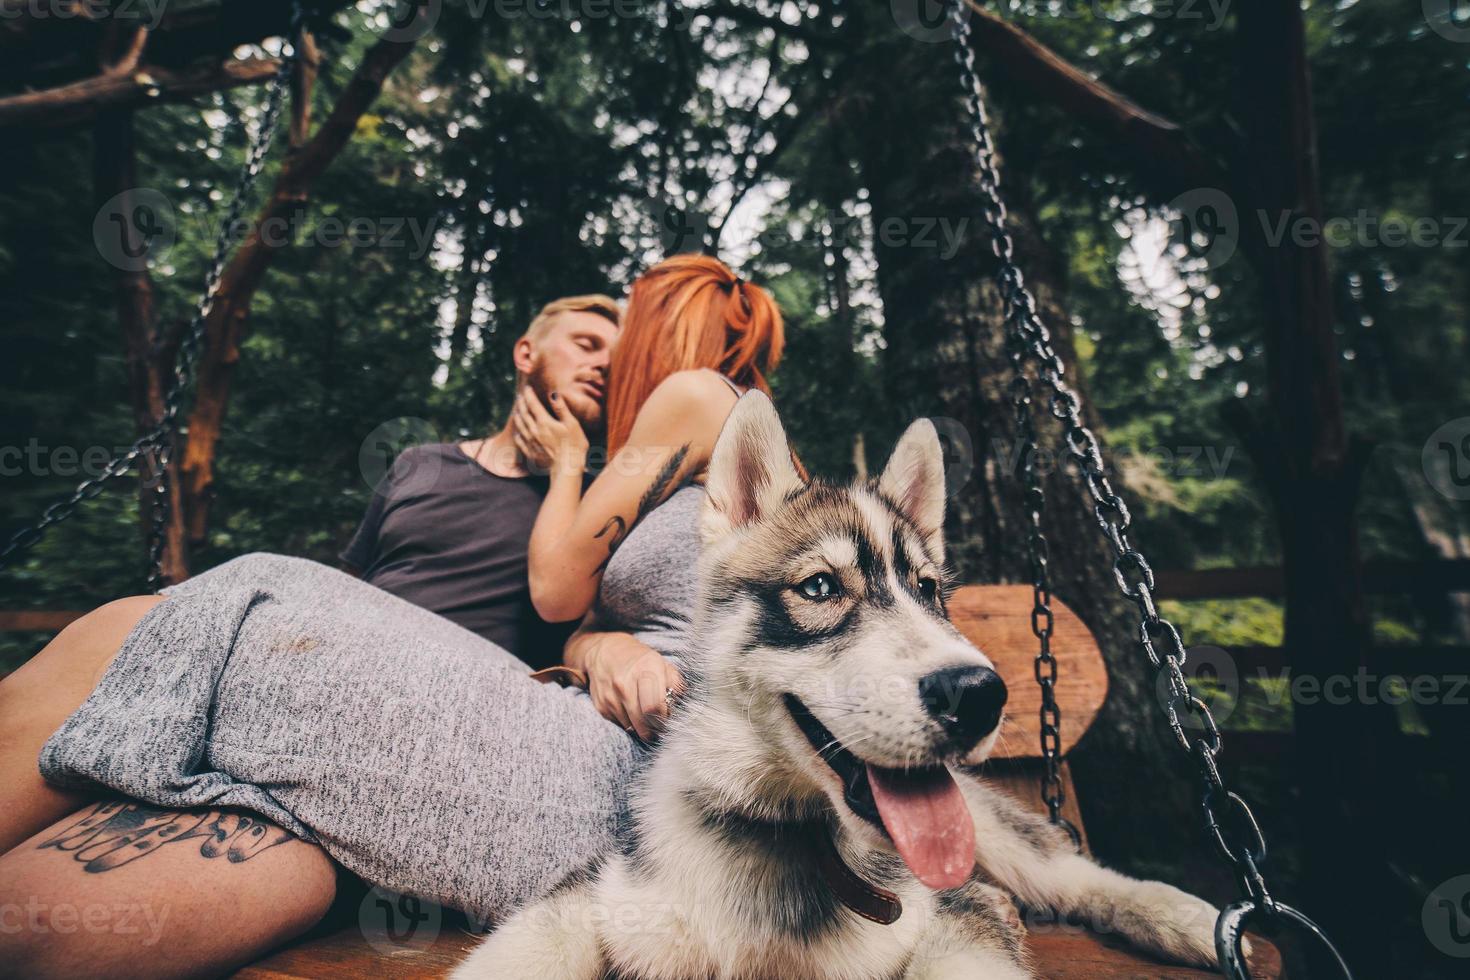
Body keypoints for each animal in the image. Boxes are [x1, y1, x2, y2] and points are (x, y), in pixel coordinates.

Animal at [455, 393, 1217, 980]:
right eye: (820, 587)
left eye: (929, 591)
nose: (978, 694)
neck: (796, 840)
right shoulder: (600, 891)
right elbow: (525, 946)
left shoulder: (950, 915)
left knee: (1072, 873)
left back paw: (1193, 919)